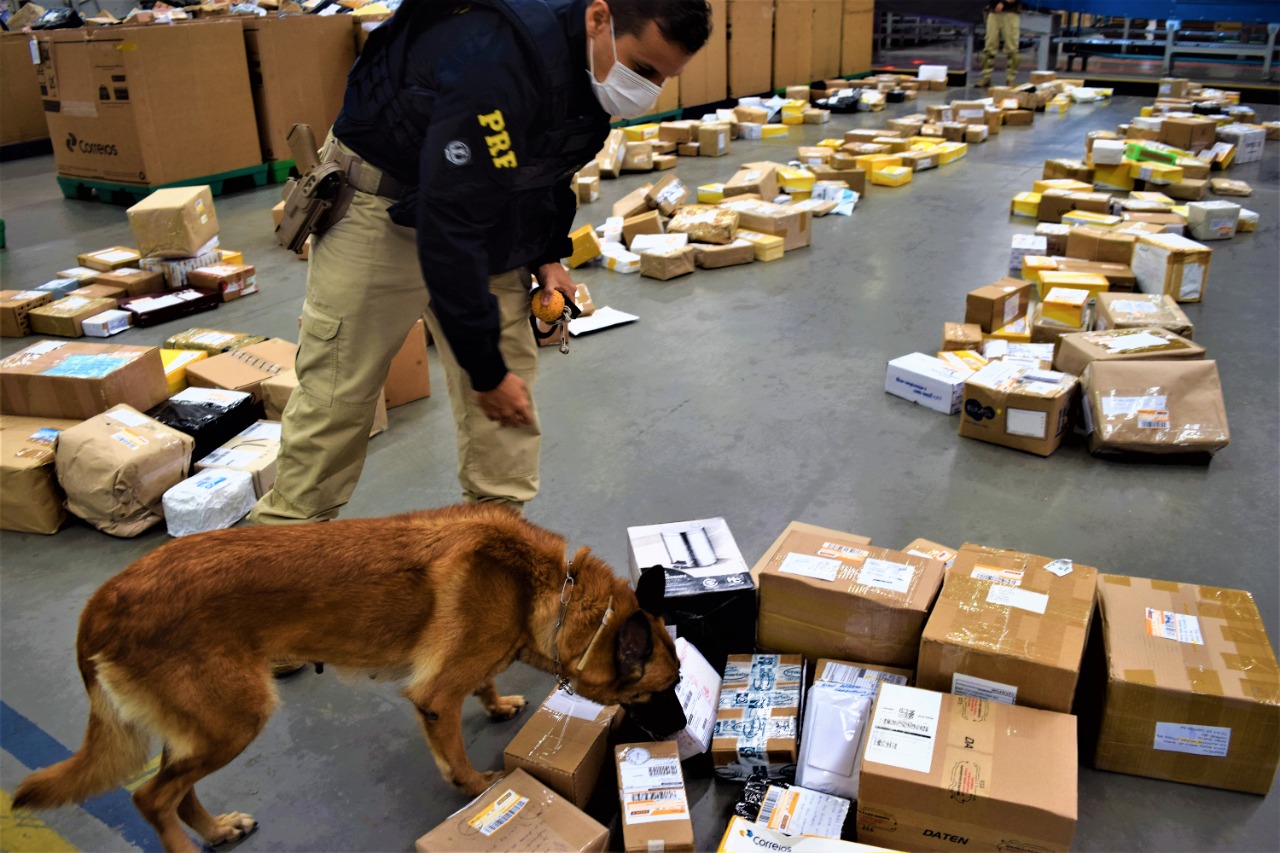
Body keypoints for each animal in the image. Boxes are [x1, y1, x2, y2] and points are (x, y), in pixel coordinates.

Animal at [13, 504, 684, 853]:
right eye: (659, 692)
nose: (683, 732)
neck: (551, 591)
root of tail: (102, 603)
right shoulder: (435, 697)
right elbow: (457, 752)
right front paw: (475, 785)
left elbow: (484, 682)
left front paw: (496, 703)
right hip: (236, 720)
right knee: (151, 797)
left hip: (207, 729)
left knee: (176, 789)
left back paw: (218, 828)